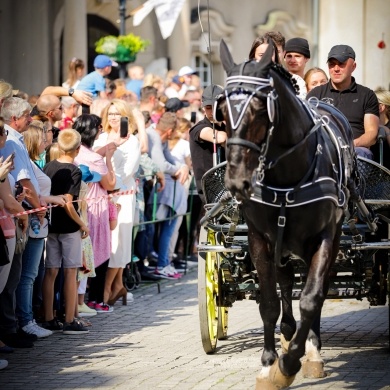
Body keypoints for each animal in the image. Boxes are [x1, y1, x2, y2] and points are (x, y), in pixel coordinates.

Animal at [218, 41, 358, 388]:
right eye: (222, 112)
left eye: (259, 108)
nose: (236, 181)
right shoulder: (260, 238)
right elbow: (268, 302)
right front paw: (269, 364)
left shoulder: (324, 238)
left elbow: (311, 297)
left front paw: (292, 361)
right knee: (284, 282)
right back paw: (287, 333)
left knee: (316, 289)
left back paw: (310, 348)